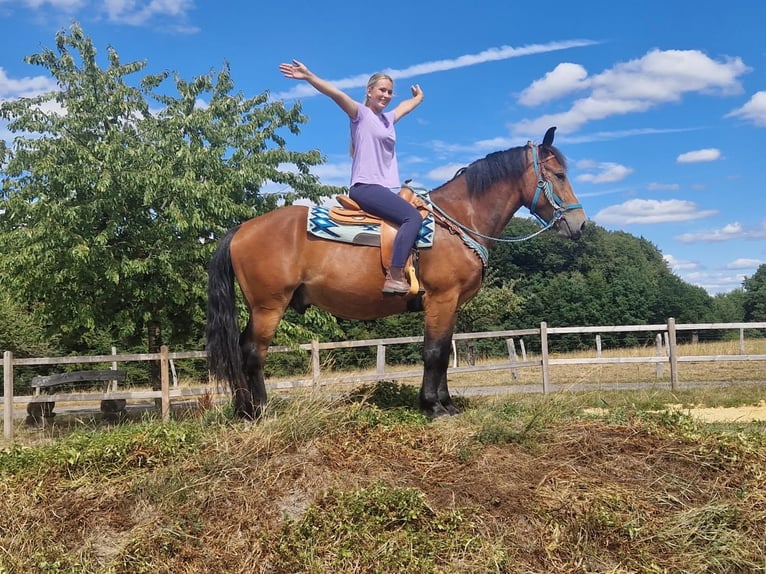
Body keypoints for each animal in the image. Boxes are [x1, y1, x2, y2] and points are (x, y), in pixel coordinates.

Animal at [206, 127, 586, 419]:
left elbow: (443, 352)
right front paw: (433, 407)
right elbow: (434, 352)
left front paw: (445, 403)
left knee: (241, 350)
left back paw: (243, 410)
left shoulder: (451, 305)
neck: (457, 220)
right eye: (559, 175)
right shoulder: (441, 298)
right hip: (269, 306)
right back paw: (259, 411)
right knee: (253, 353)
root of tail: (240, 229)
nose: (580, 225)